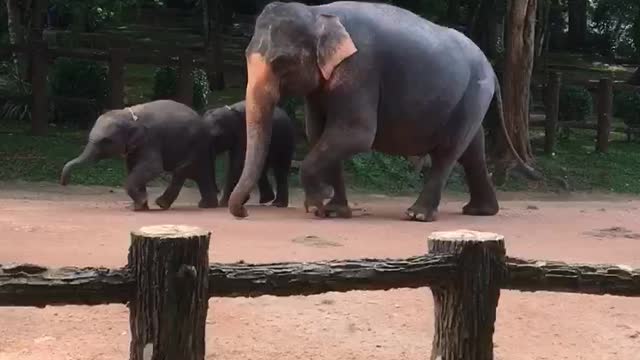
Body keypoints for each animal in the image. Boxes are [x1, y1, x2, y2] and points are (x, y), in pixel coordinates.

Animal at [61, 99, 219, 211]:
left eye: (106, 141)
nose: (64, 183)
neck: (129, 116)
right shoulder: (135, 147)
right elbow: (133, 168)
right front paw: (139, 206)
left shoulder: (150, 140)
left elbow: (152, 168)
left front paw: (140, 204)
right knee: (200, 173)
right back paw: (206, 205)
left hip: (194, 145)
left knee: (182, 170)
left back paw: (162, 204)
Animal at [228, 0, 536, 222]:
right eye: (245, 56)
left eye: (282, 62)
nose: (244, 211)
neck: (317, 13)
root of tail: (491, 69)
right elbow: (318, 133)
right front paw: (334, 211)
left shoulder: (360, 69)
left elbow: (356, 133)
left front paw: (317, 206)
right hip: (470, 100)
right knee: (472, 151)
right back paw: (480, 211)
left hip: (474, 94)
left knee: (448, 152)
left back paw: (418, 215)